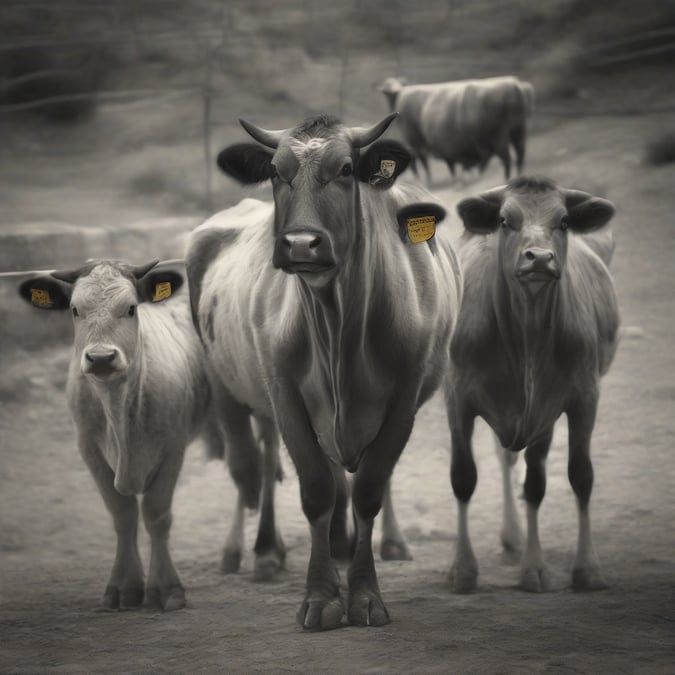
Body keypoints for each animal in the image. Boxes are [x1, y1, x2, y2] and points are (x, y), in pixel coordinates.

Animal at [18, 259, 284, 610]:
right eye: (75, 310)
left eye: (131, 308)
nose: (100, 357)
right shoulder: (89, 449)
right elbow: (123, 514)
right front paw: (124, 586)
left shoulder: (172, 448)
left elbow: (156, 514)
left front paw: (166, 588)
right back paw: (241, 552)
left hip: (259, 402)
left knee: (263, 464)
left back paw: (264, 553)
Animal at [186, 113, 463, 630]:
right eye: (276, 172)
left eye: (347, 170)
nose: (300, 243)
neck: (338, 329)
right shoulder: (284, 393)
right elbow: (316, 488)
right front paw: (320, 596)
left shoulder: (405, 397)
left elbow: (369, 488)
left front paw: (365, 594)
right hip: (229, 388)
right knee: (256, 463)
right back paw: (263, 551)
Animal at [378, 75, 534, 184]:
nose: (392, 90)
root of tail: (513, 85)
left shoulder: (418, 143)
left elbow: (429, 163)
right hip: (519, 131)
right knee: (520, 154)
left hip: (499, 137)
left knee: (507, 158)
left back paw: (506, 180)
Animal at [445, 175, 619, 594]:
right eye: (505, 220)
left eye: (564, 221)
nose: (538, 258)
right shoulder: (457, 397)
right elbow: (463, 477)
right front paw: (462, 569)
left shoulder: (572, 399)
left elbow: (569, 478)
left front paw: (564, 568)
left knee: (518, 465)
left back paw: (515, 539)